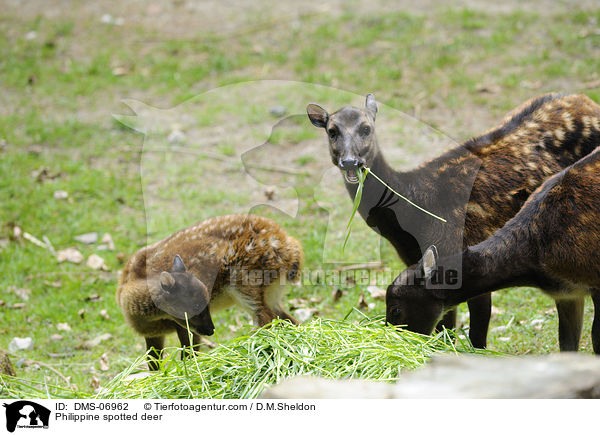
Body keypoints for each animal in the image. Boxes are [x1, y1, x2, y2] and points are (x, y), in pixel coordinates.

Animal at [116, 213, 304, 370]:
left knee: (267, 318)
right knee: (289, 320)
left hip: (246, 279)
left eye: (207, 301)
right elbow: (154, 364)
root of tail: (290, 247)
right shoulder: (153, 333)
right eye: (195, 306)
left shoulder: (185, 327)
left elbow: (189, 355)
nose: (211, 330)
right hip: (270, 292)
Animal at [384, 147, 600, 354]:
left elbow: (595, 338)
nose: (389, 337)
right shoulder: (567, 295)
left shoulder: (594, 281)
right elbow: (567, 344)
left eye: (395, 310)